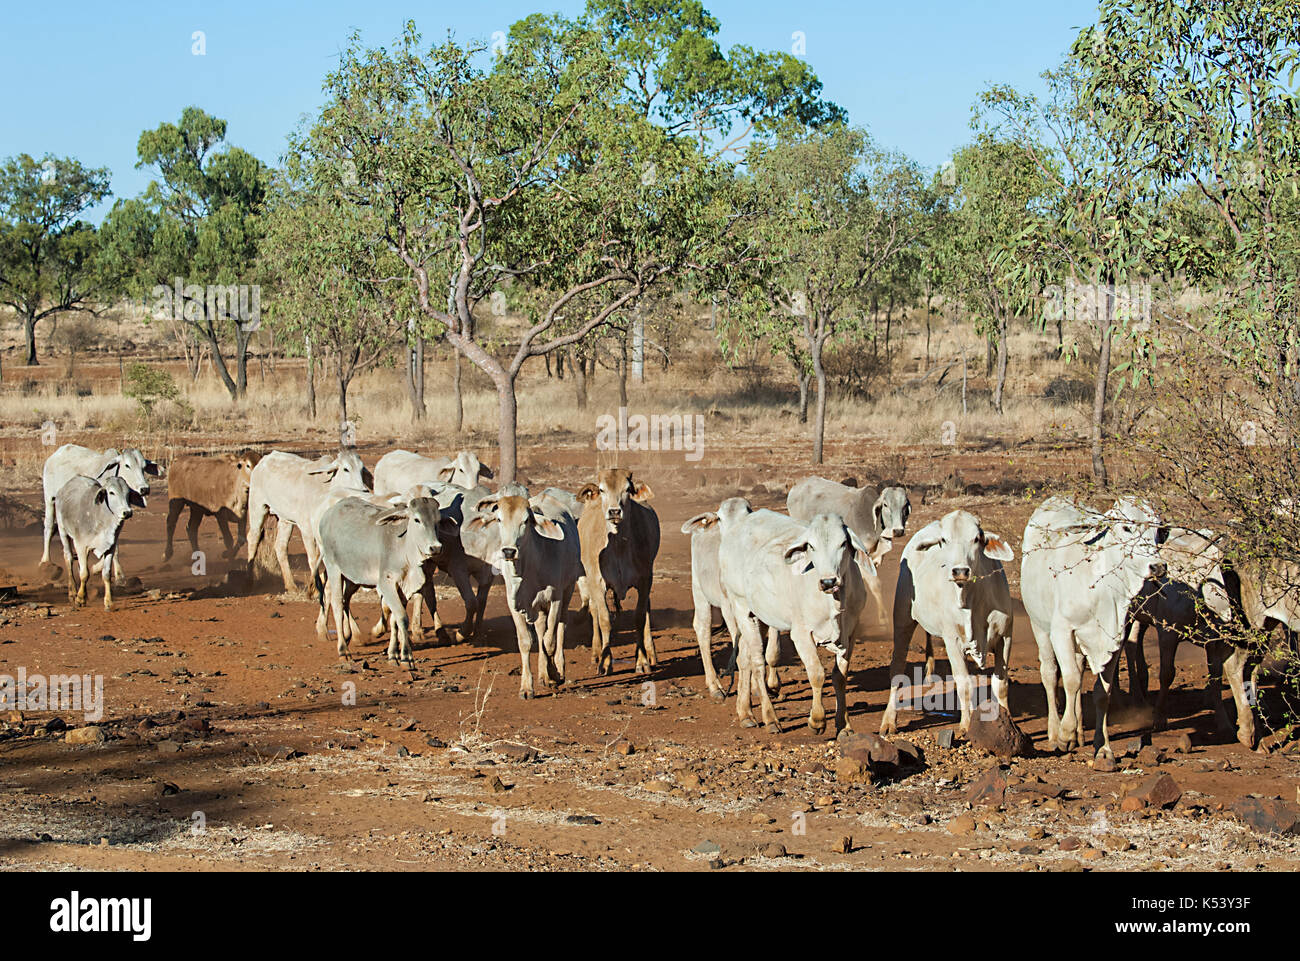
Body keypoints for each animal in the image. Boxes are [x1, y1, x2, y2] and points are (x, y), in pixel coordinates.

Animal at [55, 478, 144, 613]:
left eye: (128, 493)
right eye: (111, 492)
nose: (127, 512)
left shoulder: (110, 548)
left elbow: (106, 574)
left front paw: (108, 602)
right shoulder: (81, 546)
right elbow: (84, 574)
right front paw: (80, 599)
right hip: (63, 531)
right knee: (69, 558)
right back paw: (73, 592)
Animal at [579, 470, 660, 671]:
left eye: (628, 489)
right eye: (602, 489)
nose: (614, 511)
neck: (619, 547)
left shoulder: (645, 580)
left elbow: (640, 618)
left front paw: (642, 660)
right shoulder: (597, 582)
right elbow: (605, 619)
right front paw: (606, 661)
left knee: (647, 609)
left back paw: (651, 652)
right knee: (594, 611)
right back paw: (596, 652)